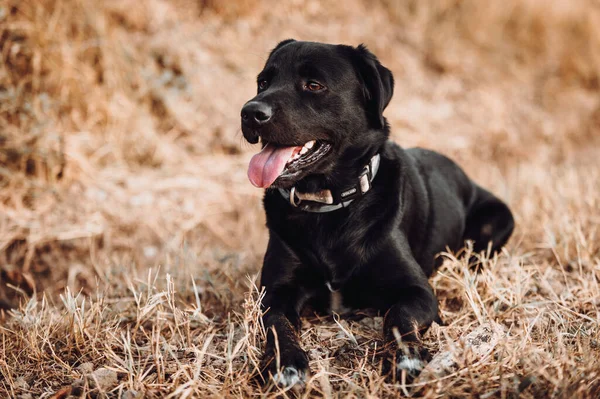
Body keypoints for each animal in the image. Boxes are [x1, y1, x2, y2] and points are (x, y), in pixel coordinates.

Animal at [239, 40, 516, 388]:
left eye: (313, 85)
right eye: (263, 82)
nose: (249, 112)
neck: (329, 207)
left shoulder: (417, 291)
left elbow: (399, 317)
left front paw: (407, 358)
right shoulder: (275, 293)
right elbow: (278, 325)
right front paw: (286, 364)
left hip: (499, 220)